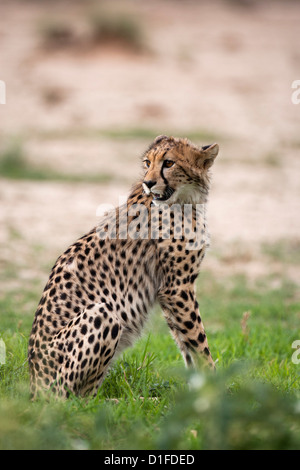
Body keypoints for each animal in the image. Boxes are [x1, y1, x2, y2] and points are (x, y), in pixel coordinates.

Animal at [28, 136, 219, 400]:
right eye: (148, 163)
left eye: (169, 163)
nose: (149, 183)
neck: (184, 199)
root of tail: (34, 384)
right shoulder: (177, 288)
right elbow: (198, 342)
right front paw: (216, 389)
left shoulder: (169, 291)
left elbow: (185, 345)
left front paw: (197, 391)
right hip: (103, 314)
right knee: (72, 399)